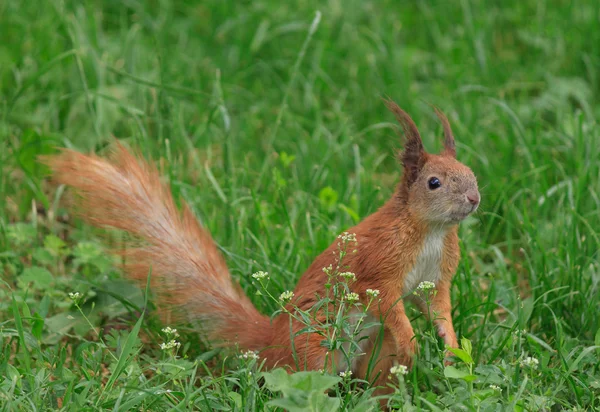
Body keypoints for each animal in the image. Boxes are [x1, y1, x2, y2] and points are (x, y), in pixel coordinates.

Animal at [42, 99, 478, 392]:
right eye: (434, 182)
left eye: (472, 173)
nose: (474, 200)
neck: (431, 230)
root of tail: (268, 347)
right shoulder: (379, 265)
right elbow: (388, 302)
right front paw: (411, 338)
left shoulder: (437, 275)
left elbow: (437, 306)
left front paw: (451, 347)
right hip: (315, 347)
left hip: (375, 355)